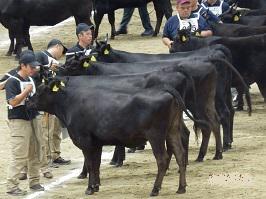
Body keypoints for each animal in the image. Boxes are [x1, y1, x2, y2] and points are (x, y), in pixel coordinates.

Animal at [28, 76, 188, 196]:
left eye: (40, 91)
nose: (28, 102)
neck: (70, 104)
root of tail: (165, 90)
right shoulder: (97, 143)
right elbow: (96, 164)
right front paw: (96, 185)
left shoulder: (85, 141)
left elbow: (90, 164)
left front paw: (89, 188)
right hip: (172, 131)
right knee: (180, 154)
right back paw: (181, 188)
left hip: (156, 136)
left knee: (162, 159)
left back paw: (155, 189)